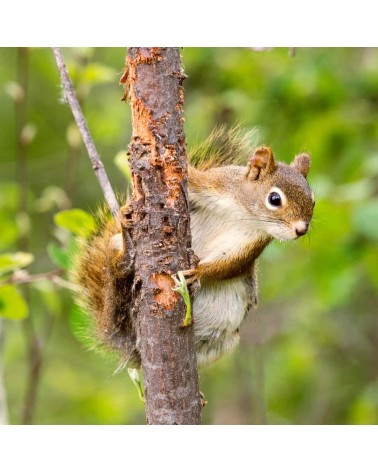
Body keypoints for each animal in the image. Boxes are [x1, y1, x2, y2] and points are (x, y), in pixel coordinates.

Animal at [72, 128, 314, 368]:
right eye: (274, 199)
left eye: (312, 200)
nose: (301, 230)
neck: (243, 211)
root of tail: (132, 345)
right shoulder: (213, 184)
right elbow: (191, 177)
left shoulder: (251, 243)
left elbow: (230, 264)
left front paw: (197, 272)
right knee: (116, 271)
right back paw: (125, 254)